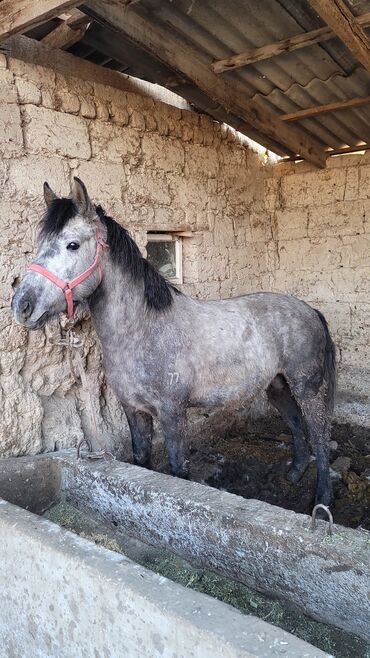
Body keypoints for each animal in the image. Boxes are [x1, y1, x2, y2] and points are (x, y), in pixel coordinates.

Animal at [11, 179, 336, 508]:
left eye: (73, 245)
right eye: (40, 243)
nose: (22, 305)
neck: (143, 331)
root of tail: (309, 310)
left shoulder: (172, 413)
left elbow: (179, 470)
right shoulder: (134, 411)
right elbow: (142, 460)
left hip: (307, 387)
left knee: (319, 434)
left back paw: (322, 499)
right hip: (277, 385)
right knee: (296, 424)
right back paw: (295, 473)